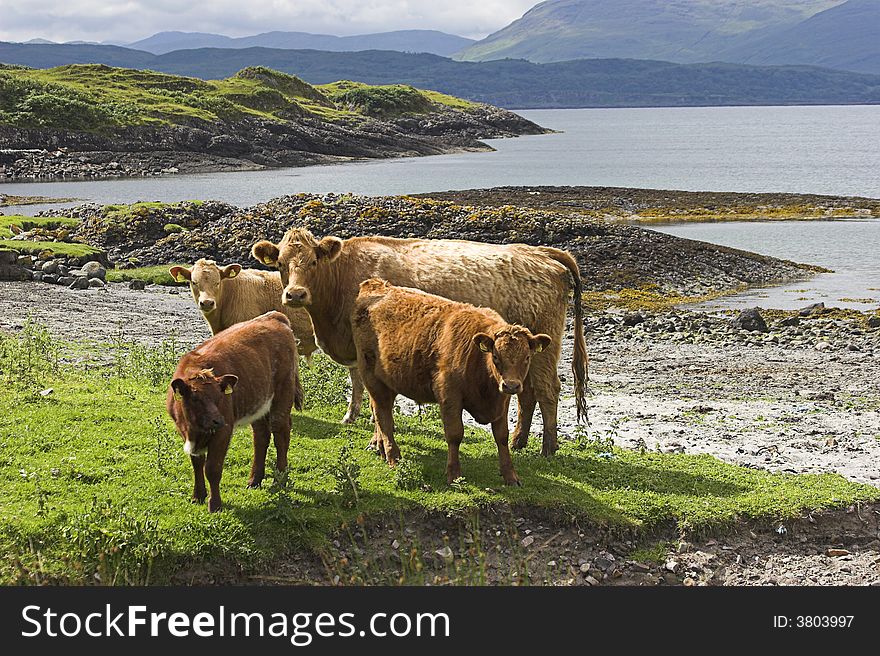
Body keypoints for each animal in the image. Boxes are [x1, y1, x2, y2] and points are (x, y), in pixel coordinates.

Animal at [168, 312, 306, 512]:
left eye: (220, 397)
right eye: (195, 399)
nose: (217, 420)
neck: (195, 430)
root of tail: (274, 316)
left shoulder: (224, 431)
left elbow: (212, 468)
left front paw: (215, 504)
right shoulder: (185, 432)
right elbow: (197, 463)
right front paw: (197, 496)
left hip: (282, 395)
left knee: (281, 433)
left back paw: (279, 479)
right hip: (258, 403)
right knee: (261, 436)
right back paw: (254, 480)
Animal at [251, 228, 588, 454]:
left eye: (313, 262)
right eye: (280, 264)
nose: (295, 294)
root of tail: (538, 252)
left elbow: (375, 398)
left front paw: (377, 441)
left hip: (543, 347)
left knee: (547, 389)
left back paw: (547, 448)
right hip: (523, 352)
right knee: (527, 392)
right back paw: (519, 441)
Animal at [350, 278, 552, 486]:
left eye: (527, 357)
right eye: (495, 356)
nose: (511, 385)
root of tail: (376, 284)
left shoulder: (501, 401)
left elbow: (501, 436)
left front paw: (510, 475)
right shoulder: (449, 395)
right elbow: (455, 434)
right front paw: (454, 474)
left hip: (388, 382)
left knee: (381, 414)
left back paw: (381, 449)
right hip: (372, 378)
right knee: (383, 416)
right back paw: (393, 457)